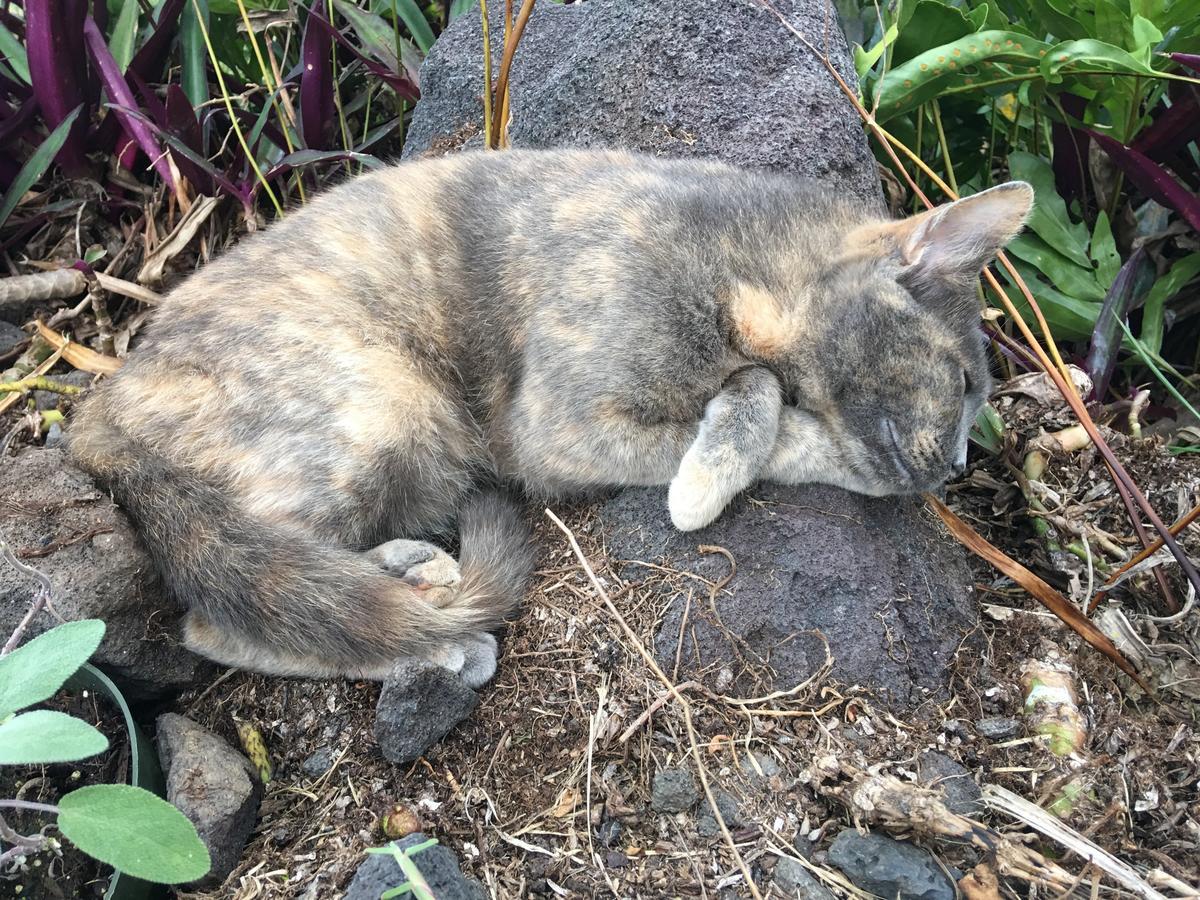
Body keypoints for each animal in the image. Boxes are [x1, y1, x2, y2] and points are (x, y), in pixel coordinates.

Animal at [70, 150, 1036, 681]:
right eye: (963, 381)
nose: (957, 465)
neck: (738, 268)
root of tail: (99, 404)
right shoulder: (561, 427)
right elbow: (771, 403)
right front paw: (707, 479)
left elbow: (760, 389)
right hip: (385, 406)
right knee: (222, 612)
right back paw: (433, 642)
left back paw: (415, 573)